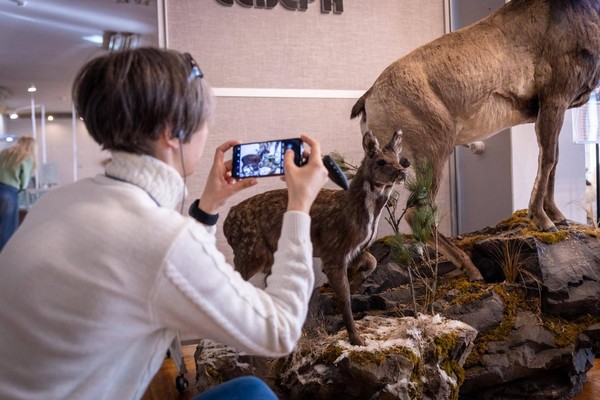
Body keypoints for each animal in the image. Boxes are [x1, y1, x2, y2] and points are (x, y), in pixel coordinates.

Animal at [223, 130, 410, 344]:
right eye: (380, 161)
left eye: (398, 159)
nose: (403, 173)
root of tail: (227, 222)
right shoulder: (333, 251)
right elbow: (344, 297)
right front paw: (357, 339)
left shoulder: (354, 249)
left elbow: (372, 262)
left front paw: (355, 285)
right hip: (249, 252)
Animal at [352, 0, 600, 280]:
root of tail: (370, 97)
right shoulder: (554, 100)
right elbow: (547, 158)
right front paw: (544, 221)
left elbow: (554, 160)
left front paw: (558, 216)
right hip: (434, 154)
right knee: (417, 212)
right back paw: (472, 270)